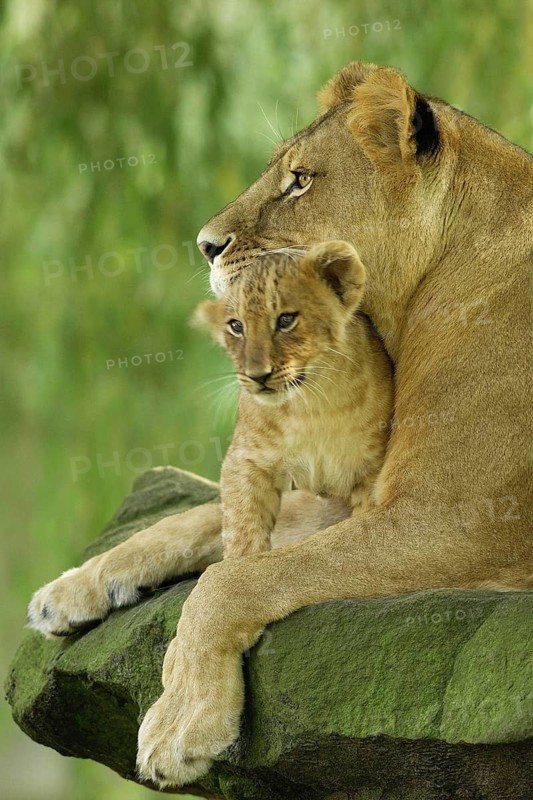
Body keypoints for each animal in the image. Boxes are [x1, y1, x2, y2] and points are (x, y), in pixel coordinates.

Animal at [194, 241, 393, 557]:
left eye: (286, 320)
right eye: (236, 326)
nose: (257, 376)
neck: (311, 404)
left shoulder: (370, 470)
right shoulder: (245, 460)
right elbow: (243, 528)